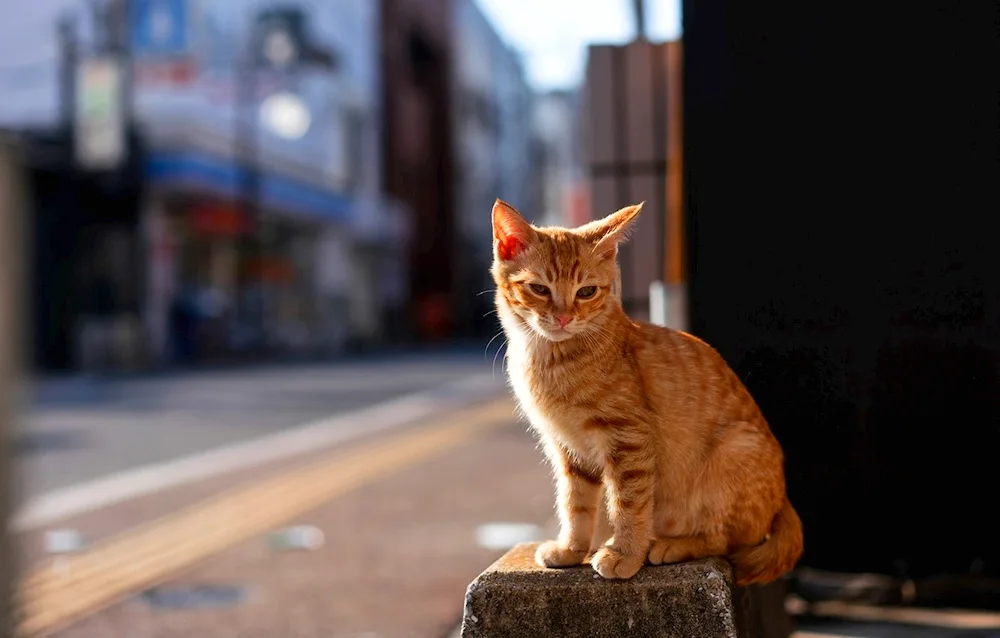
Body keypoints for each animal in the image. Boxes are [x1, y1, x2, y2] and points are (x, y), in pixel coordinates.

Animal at [492, 199, 804, 584]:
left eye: (586, 292)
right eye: (539, 289)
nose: (564, 318)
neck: (550, 359)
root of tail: (784, 500)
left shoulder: (629, 439)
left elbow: (629, 502)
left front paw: (625, 553)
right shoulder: (568, 450)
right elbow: (575, 504)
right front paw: (571, 549)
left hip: (734, 449)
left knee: (723, 541)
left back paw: (669, 545)